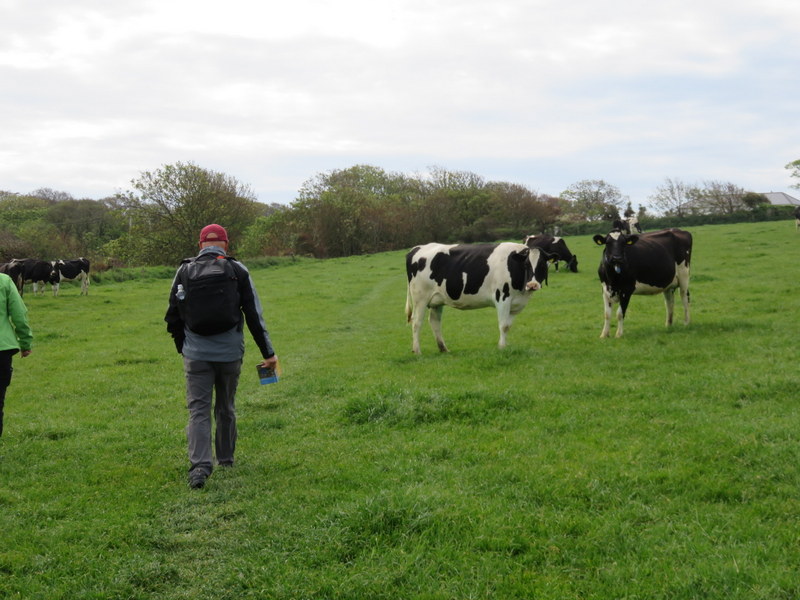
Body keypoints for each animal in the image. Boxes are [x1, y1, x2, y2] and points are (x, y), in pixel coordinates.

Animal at [405, 242, 551, 353]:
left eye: (543, 265)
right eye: (526, 265)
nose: (532, 285)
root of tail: (416, 248)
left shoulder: (516, 305)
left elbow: (508, 326)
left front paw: (505, 346)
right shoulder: (502, 298)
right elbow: (503, 325)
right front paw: (502, 347)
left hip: (436, 300)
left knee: (435, 322)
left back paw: (443, 349)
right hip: (420, 298)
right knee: (416, 322)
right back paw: (417, 351)